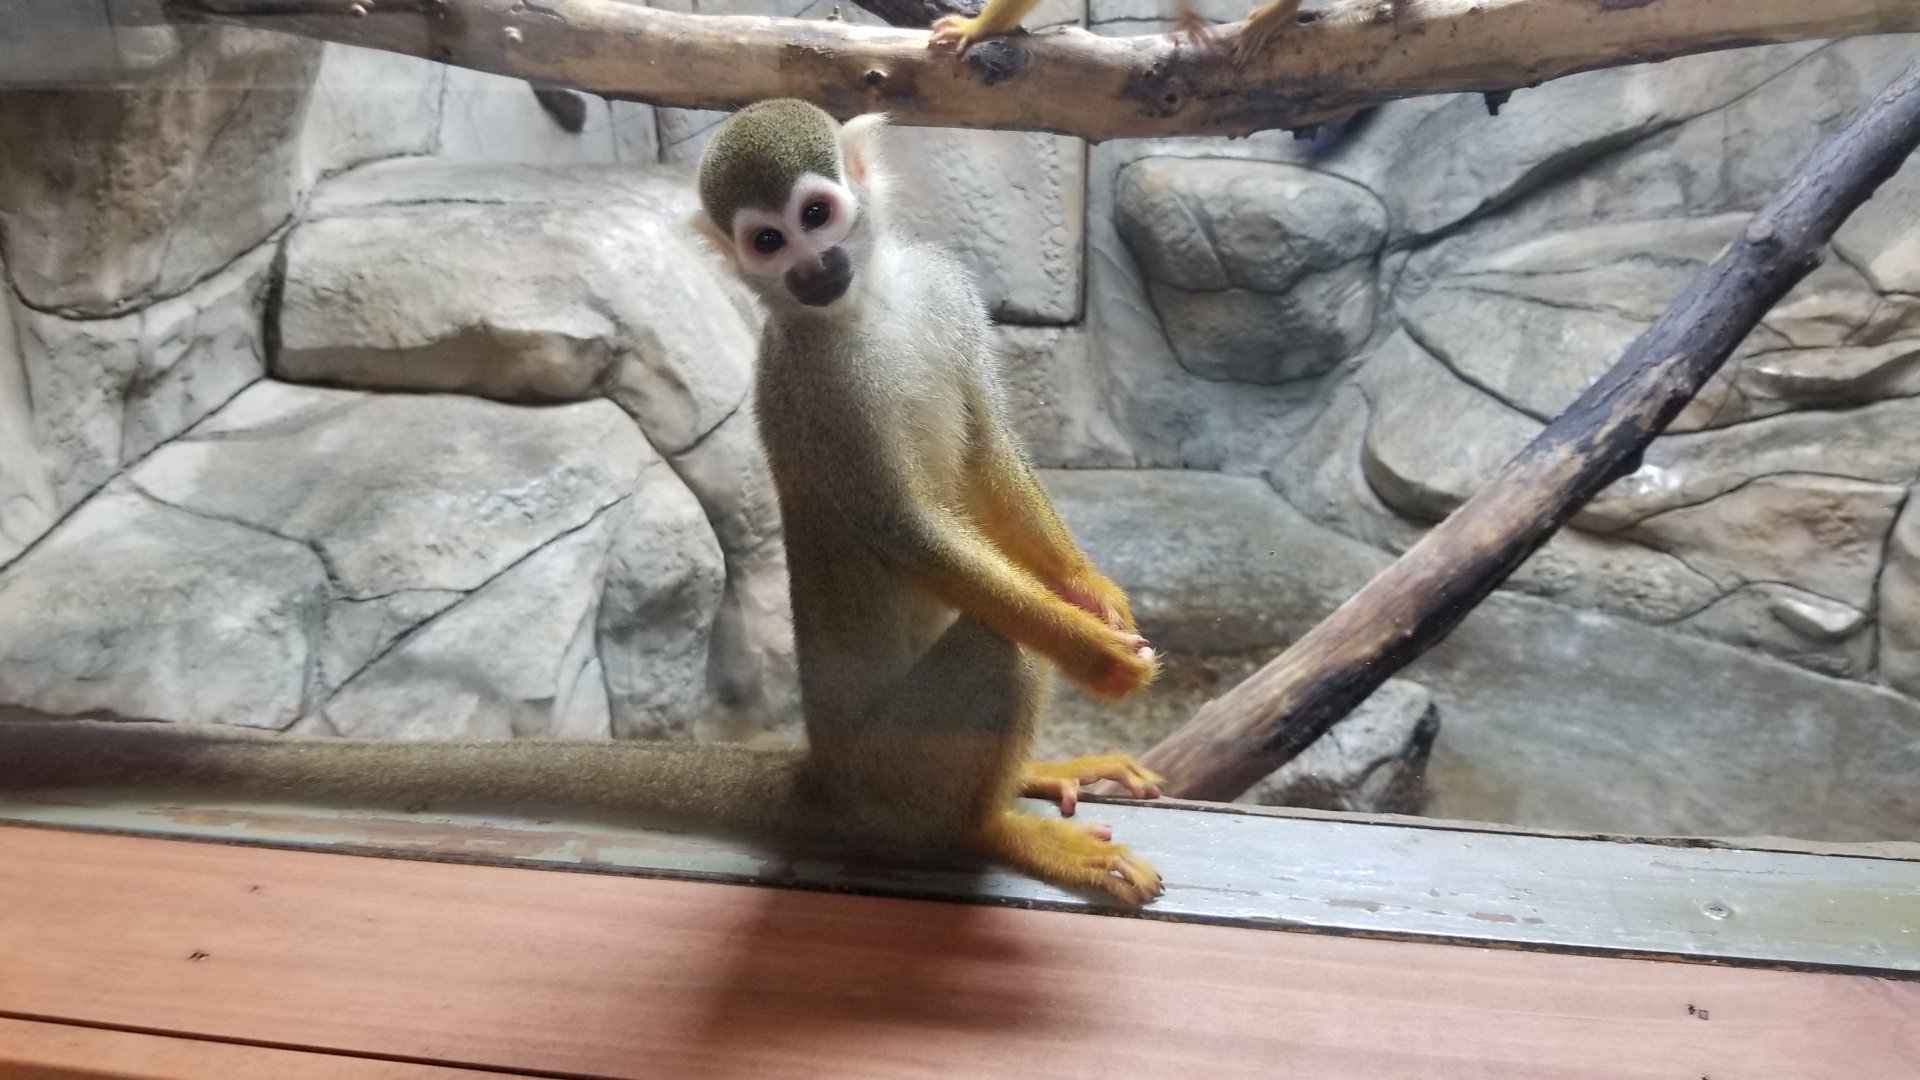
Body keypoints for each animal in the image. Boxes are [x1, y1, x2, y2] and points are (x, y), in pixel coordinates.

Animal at [0, 100, 1168, 906]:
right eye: (766, 243)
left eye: (818, 214)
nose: (814, 268)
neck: (863, 310)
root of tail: (827, 776)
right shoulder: (805, 384)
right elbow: (903, 530)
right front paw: (1092, 653)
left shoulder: (940, 293)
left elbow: (989, 453)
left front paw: (1092, 597)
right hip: (893, 768)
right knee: (991, 656)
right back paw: (983, 829)